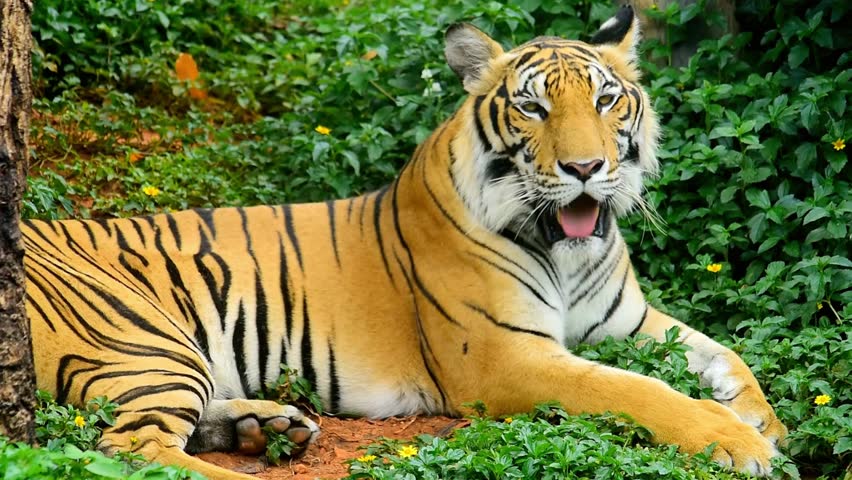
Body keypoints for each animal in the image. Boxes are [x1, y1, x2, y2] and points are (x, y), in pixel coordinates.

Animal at [24, 7, 785, 479]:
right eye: (533, 106)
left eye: (605, 100)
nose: (584, 168)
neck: (569, 251)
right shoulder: (507, 359)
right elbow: (638, 389)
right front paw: (737, 442)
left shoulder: (631, 321)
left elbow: (725, 354)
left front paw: (765, 422)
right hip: (142, 335)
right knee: (132, 448)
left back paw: (268, 427)